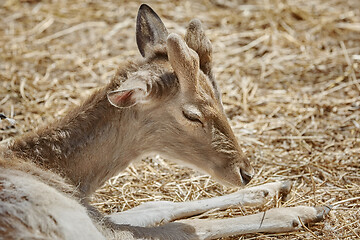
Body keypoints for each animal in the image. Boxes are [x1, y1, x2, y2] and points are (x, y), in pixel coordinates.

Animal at [0, 4, 330, 240]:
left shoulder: (95, 214)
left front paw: (276, 187)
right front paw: (305, 210)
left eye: (220, 97)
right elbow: (187, 229)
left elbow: (155, 205)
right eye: (192, 114)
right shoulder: (91, 226)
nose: (246, 173)